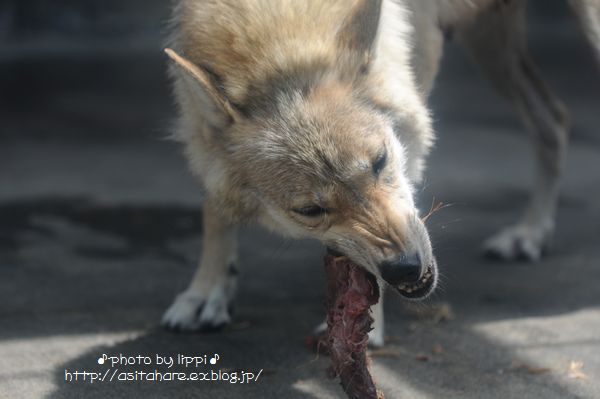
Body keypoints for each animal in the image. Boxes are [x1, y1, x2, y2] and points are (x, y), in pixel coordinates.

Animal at [162, 0, 600, 346]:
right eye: (310, 211)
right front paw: (206, 290)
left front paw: (370, 327)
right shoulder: (201, 129)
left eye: (379, 161)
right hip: (490, 45)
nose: (405, 267)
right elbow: (214, 207)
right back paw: (531, 233)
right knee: (554, 119)